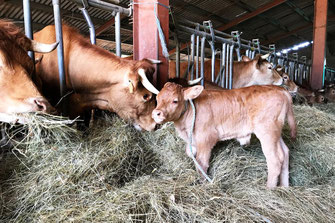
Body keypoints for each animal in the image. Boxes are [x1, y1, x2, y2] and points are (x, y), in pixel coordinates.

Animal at [152, 83, 296, 187]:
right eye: (157, 99)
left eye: (175, 101)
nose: (156, 113)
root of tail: (280, 89)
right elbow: (190, 154)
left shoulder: (206, 139)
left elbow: (201, 164)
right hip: (276, 132)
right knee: (285, 153)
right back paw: (284, 187)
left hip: (267, 132)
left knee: (274, 160)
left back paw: (270, 189)